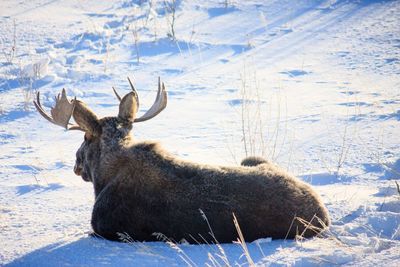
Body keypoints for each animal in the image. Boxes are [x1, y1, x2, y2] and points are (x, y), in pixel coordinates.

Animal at [33, 78, 328, 245]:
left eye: (85, 137)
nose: (76, 164)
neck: (103, 177)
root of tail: (324, 216)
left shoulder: (106, 227)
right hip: (253, 158)